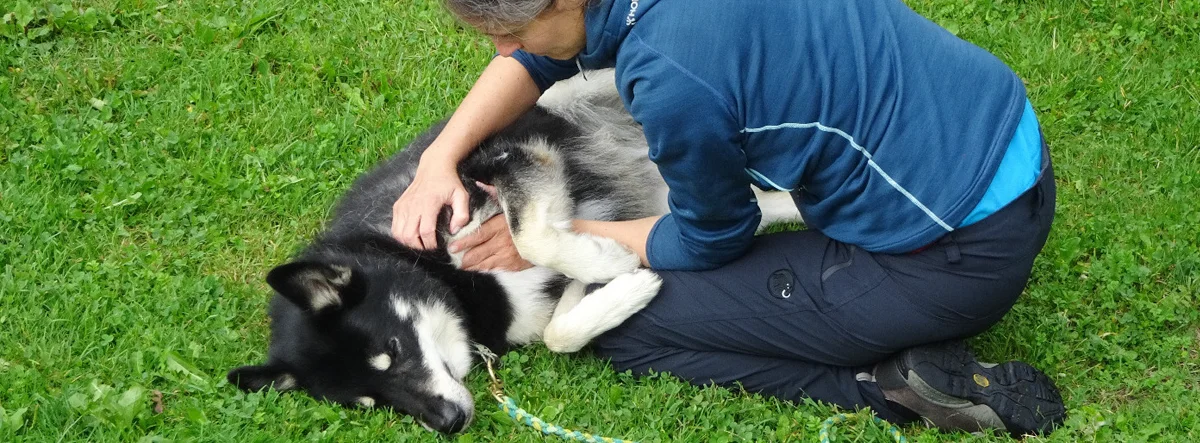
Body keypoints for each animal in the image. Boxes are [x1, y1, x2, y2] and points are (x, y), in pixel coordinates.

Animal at [229, 70, 801, 432]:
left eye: (392, 350)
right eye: (370, 403)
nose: (450, 424)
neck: (447, 277)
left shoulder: (510, 163)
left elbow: (530, 235)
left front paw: (611, 263)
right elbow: (558, 332)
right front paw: (619, 286)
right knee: (755, 206)